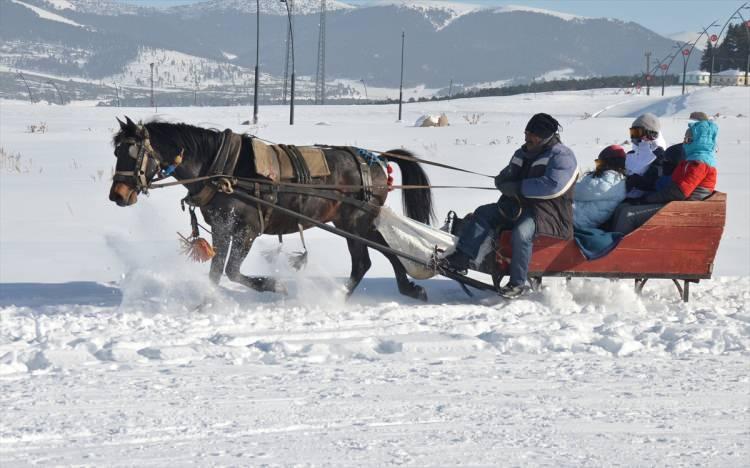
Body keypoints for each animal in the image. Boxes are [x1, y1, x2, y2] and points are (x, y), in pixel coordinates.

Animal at [106, 116, 434, 300]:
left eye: (133, 151)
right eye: (116, 150)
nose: (117, 195)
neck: (220, 167)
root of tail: (376, 159)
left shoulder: (247, 229)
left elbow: (233, 271)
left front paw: (275, 286)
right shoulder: (222, 227)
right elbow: (216, 271)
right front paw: (206, 303)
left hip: (355, 222)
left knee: (365, 261)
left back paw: (337, 296)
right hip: (355, 223)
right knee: (382, 253)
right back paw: (407, 289)